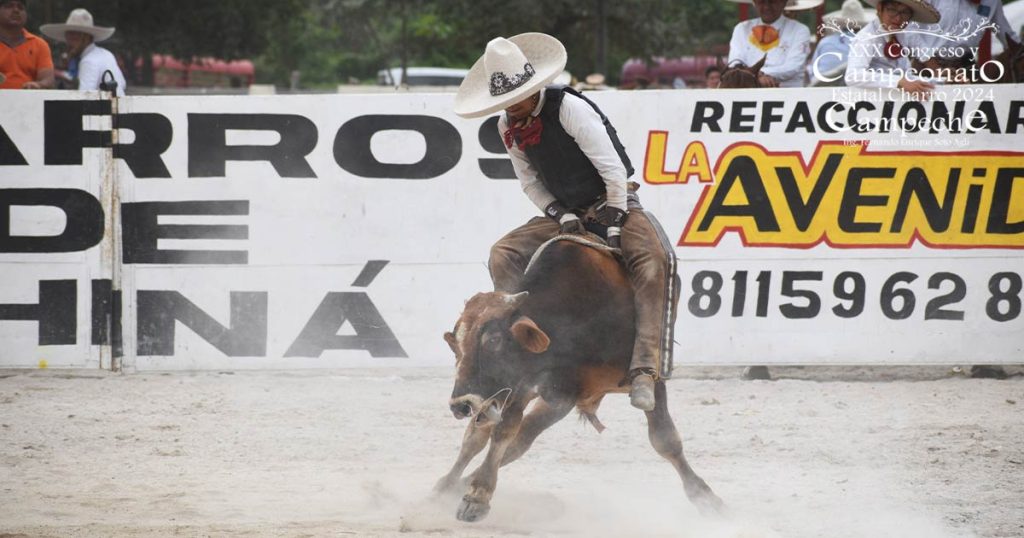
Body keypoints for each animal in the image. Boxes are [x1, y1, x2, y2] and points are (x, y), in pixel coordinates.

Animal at [436, 233, 724, 520]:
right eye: (456, 347)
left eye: (494, 340)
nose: (462, 404)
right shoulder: (528, 386)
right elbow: (502, 433)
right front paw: (477, 495)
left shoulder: (635, 383)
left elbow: (665, 439)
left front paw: (705, 497)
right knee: (481, 437)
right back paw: (446, 485)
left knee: (515, 437)